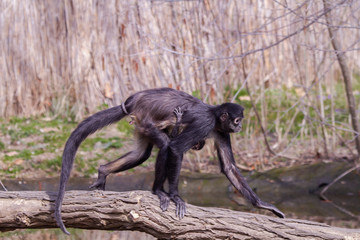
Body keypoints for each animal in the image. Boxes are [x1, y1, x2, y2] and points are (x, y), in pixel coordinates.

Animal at [54, 87, 284, 234]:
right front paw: (175, 196)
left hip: (141, 125)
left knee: (142, 154)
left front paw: (262, 205)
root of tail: (133, 100)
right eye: (237, 120)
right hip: (146, 120)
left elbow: (229, 167)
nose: (240, 127)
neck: (214, 114)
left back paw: (103, 171)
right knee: (165, 145)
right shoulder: (205, 123)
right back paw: (159, 191)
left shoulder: (220, 131)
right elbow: (175, 148)